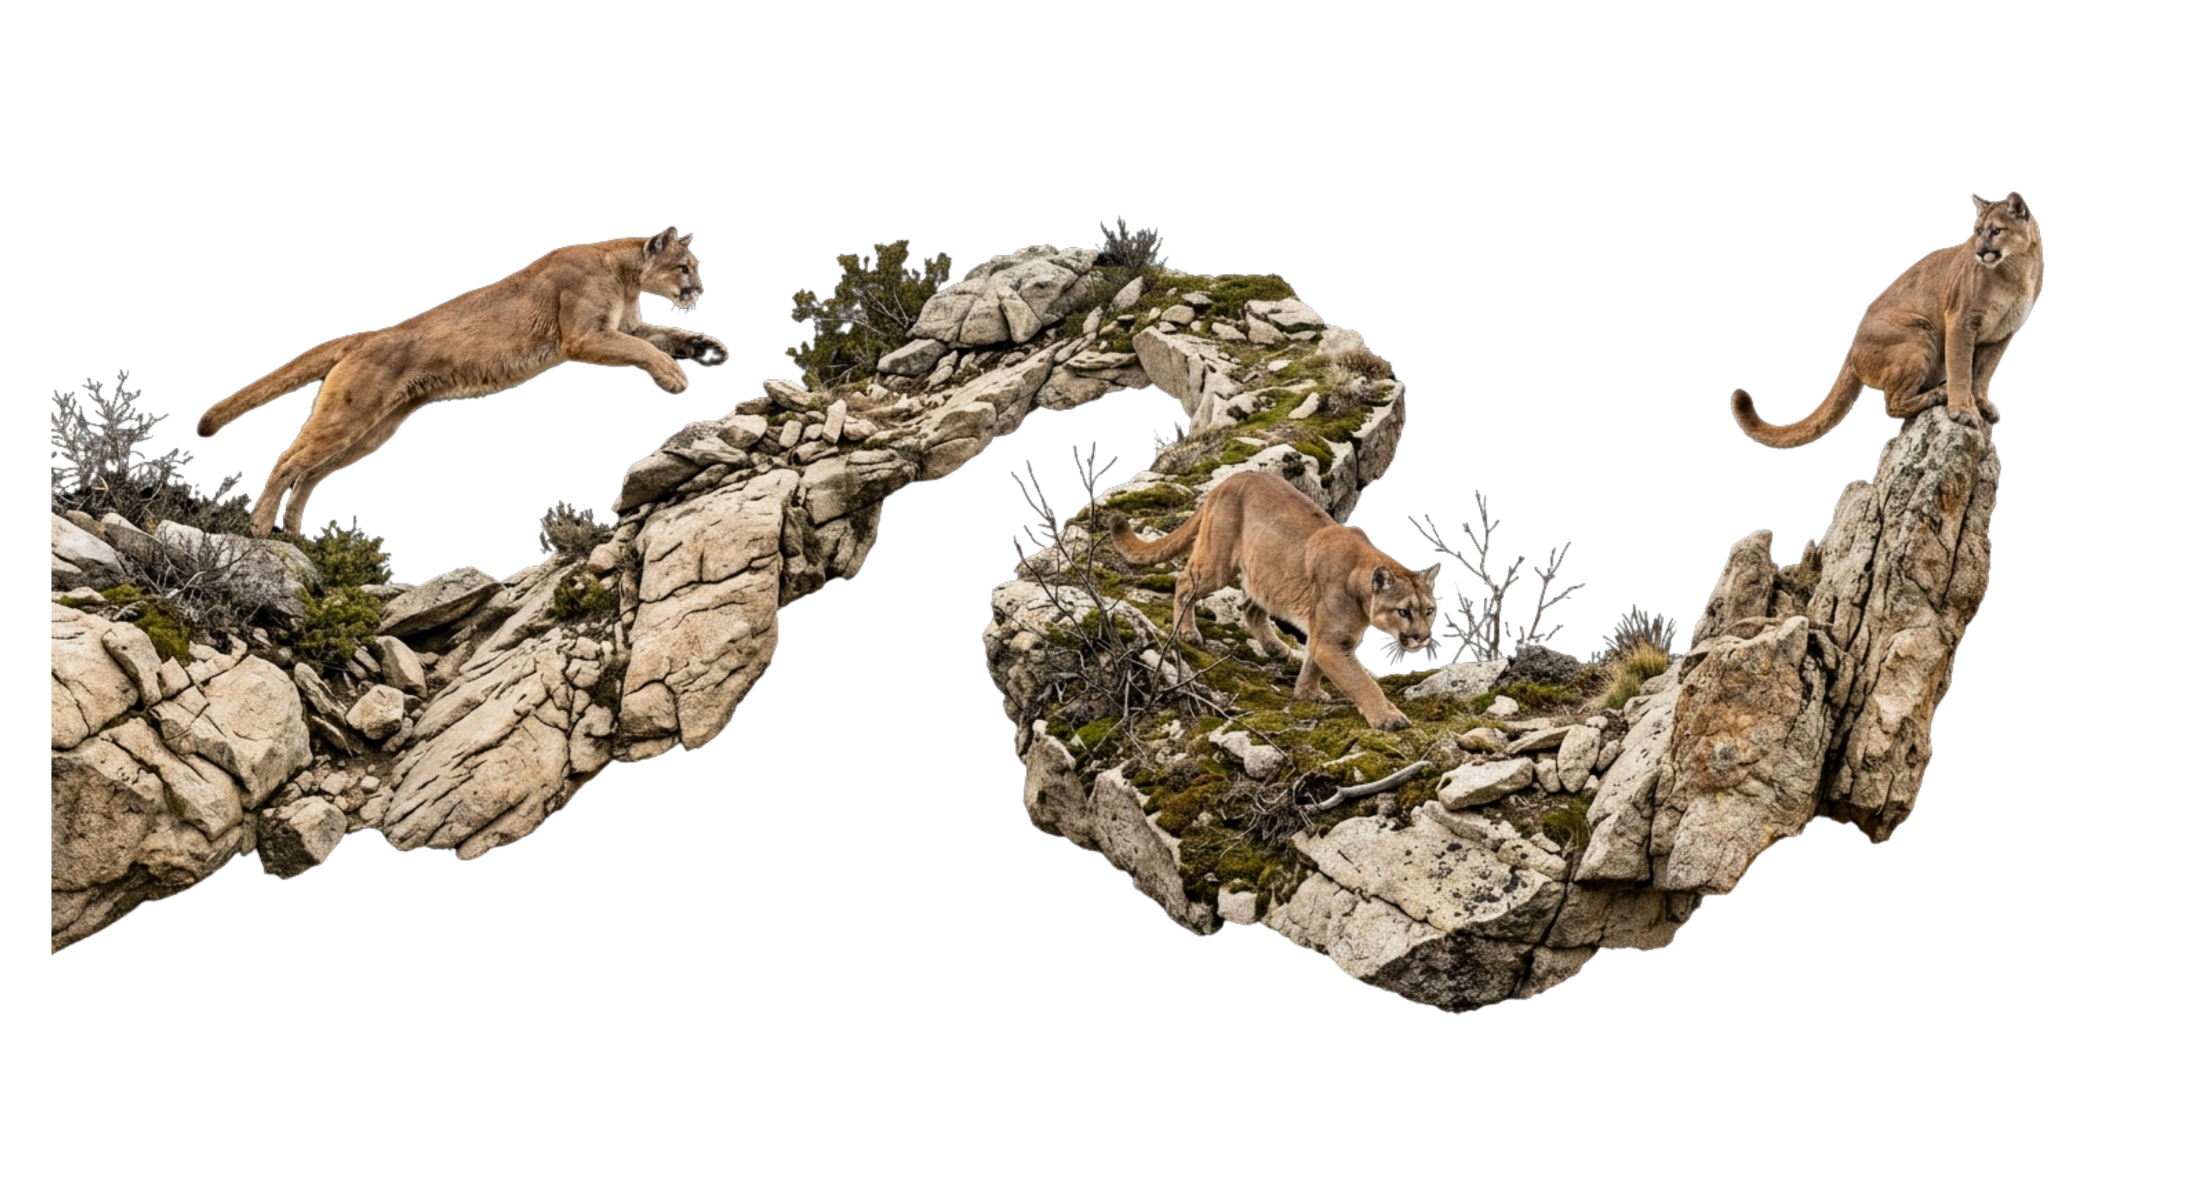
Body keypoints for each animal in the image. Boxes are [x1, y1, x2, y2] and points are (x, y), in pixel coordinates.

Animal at [198, 226, 729, 536]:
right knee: (289, 458)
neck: (623, 273)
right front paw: (674, 376)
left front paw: (708, 349)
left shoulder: (625, 327)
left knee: (312, 472)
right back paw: (260, 526)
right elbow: (646, 351)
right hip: (352, 414)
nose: (701, 290)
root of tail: (369, 334)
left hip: (375, 429)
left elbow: (666, 335)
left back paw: (291, 532)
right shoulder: (585, 336)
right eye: (686, 267)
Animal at [1103, 469, 1441, 731]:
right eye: (1403, 612)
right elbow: (1361, 682)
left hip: (1267, 576)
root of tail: (1229, 479)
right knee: (1185, 582)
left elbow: (1313, 662)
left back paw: (1277, 648)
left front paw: (1307, 693)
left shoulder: (1326, 637)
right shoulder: (1331, 642)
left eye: (1429, 610)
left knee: (1250, 607)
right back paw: (1187, 632)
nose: (1423, 638)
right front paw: (1388, 718)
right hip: (1218, 564)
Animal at [1731, 192, 2044, 448]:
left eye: (1996, 231)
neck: (2016, 270)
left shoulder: (2003, 334)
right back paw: (1937, 396)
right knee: (1890, 404)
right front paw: (1962, 410)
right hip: (1921, 331)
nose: (1978, 251)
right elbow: (1961, 369)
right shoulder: (1961, 322)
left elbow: (1983, 372)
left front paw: (1981, 404)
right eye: (1976, 232)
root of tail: (1852, 346)